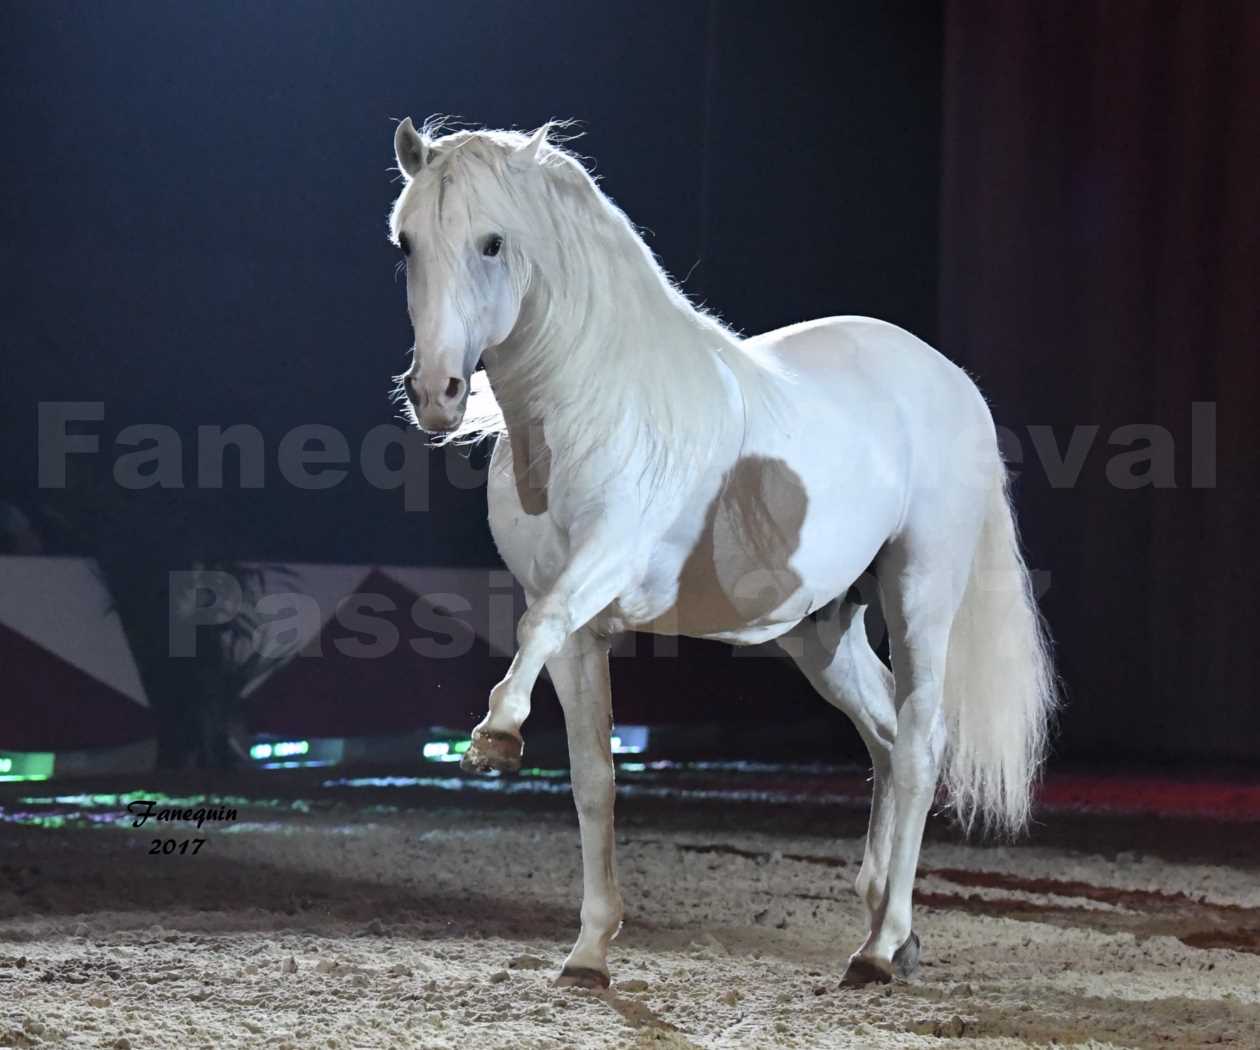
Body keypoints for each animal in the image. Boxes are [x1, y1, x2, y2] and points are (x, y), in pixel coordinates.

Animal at [385, 118, 1053, 988]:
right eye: (406, 244)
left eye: (492, 242)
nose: (436, 394)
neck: (595, 401)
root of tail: (953, 380)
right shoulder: (582, 639)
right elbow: (594, 779)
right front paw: (589, 952)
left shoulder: (607, 562)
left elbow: (536, 626)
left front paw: (495, 736)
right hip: (821, 629)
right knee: (885, 736)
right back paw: (888, 925)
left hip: (921, 592)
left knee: (916, 744)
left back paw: (877, 951)